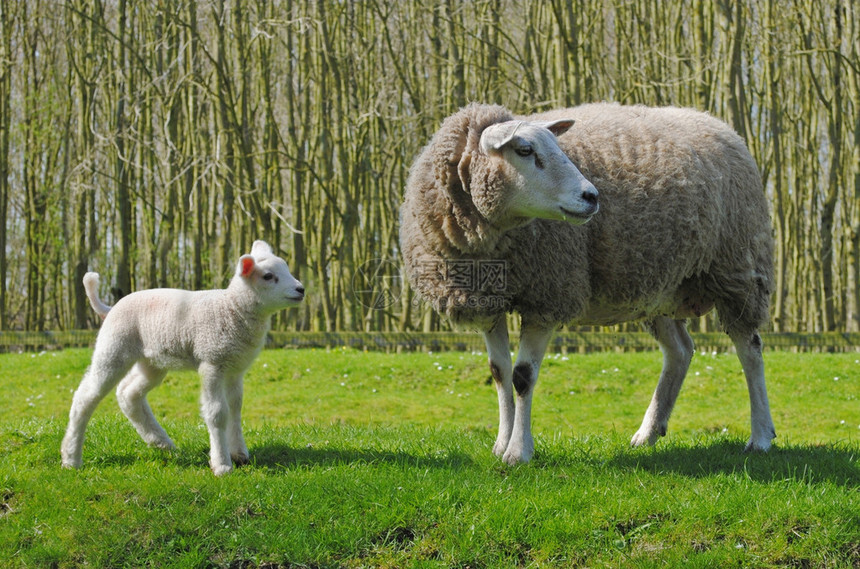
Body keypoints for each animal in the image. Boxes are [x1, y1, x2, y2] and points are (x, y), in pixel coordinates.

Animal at [60, 240, 304, 474]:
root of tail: (109, 309)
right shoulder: (212, 361)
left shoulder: (235, 367)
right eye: (268, 276)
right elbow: (217, 413)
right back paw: (71, 458)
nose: (301, 289)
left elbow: (235, 408)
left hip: (152, 361)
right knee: (85, 398)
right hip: (113, 347)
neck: (231, 309)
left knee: (129, 393)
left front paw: (240, 454)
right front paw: (222, 465)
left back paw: (161, 442)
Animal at [400, 103, 776, 466]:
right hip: (656, 285)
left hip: (738, 269)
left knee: (750, 349)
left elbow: (523, 376)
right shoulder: (488, 301)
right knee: (680, 351)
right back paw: (648, 433)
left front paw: (518, 452)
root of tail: (715, 122)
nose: (592, 196)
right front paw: (501, 444)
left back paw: (760, 436)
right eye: (524, 150)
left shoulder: (550, 293)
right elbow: (500, 372)